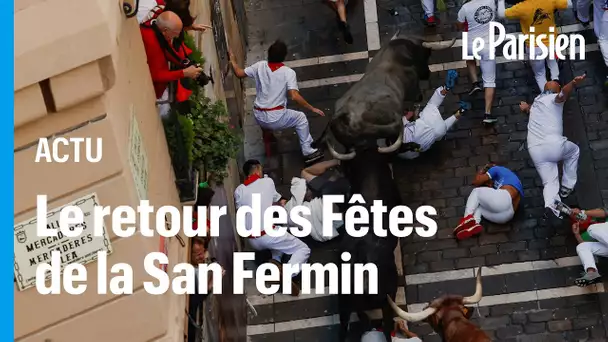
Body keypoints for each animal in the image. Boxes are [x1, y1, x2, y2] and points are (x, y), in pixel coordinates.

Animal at [314, 33, 456, 154]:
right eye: (426, 54)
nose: (427, 73)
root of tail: (343, 116)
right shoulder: (414, 91)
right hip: (388, 129)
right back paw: (413, 145)